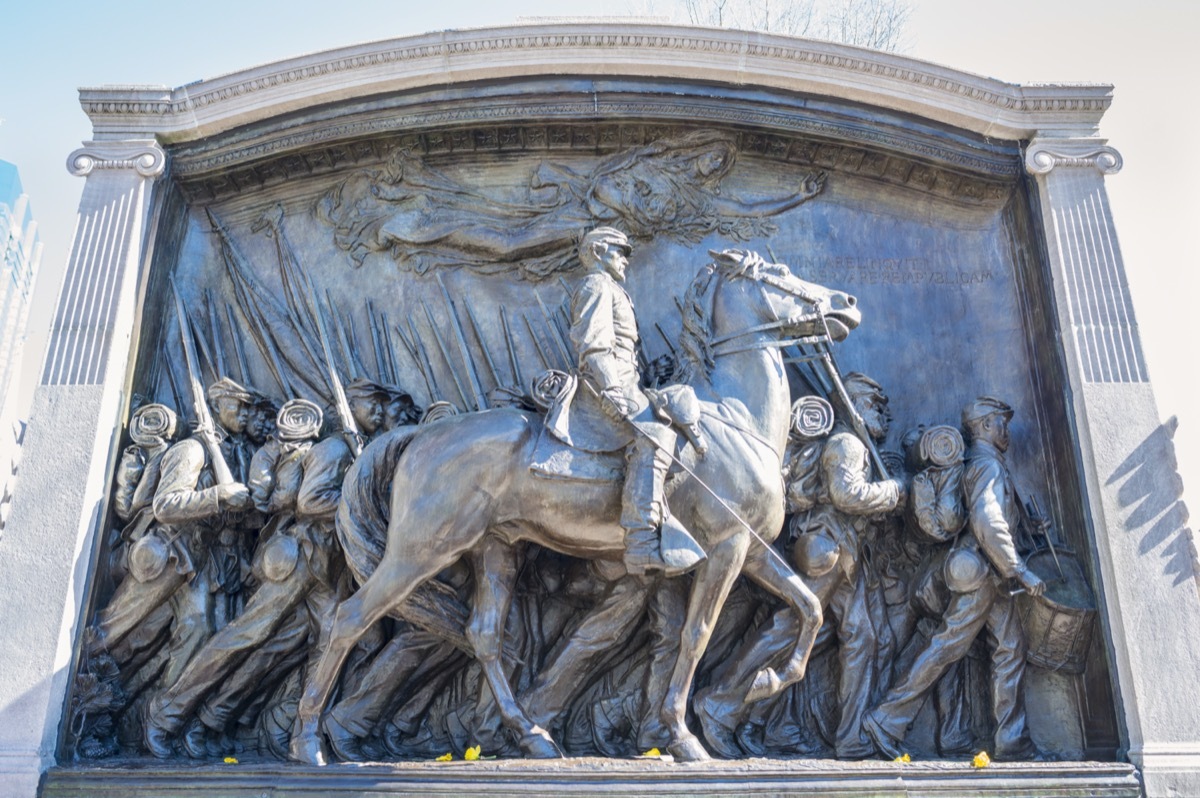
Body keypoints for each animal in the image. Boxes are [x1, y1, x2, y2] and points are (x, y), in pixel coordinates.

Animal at [285, 247, 859, 758]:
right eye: (778, 272)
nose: (848, 302)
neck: (736, 417)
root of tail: (418, 436)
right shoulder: (727, 547)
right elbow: (696, 636)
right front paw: (683, 735)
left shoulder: (752, 546)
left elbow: (808, 607)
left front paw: (767, 681)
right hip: (421, 550)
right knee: (349, 618)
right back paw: (308, 741)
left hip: (495, 549)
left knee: (483, 634)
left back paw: (532, 736)